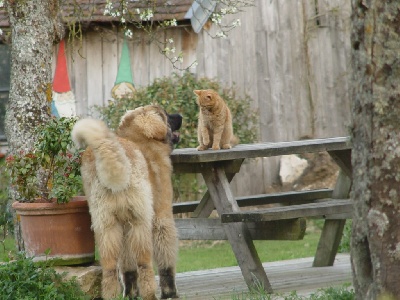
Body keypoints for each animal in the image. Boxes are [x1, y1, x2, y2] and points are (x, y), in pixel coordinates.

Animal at [72, 105, 181, 300]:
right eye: (166, 115)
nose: (181, 116)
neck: (140, 137)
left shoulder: (122, 226)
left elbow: (128, 267)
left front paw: (131, 292)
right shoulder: (161, 217)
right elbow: (165, 260)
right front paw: (170, 292)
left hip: (106, 226)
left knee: (109, 269)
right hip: (140, 221)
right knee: (144, 264)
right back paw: (150, 294)